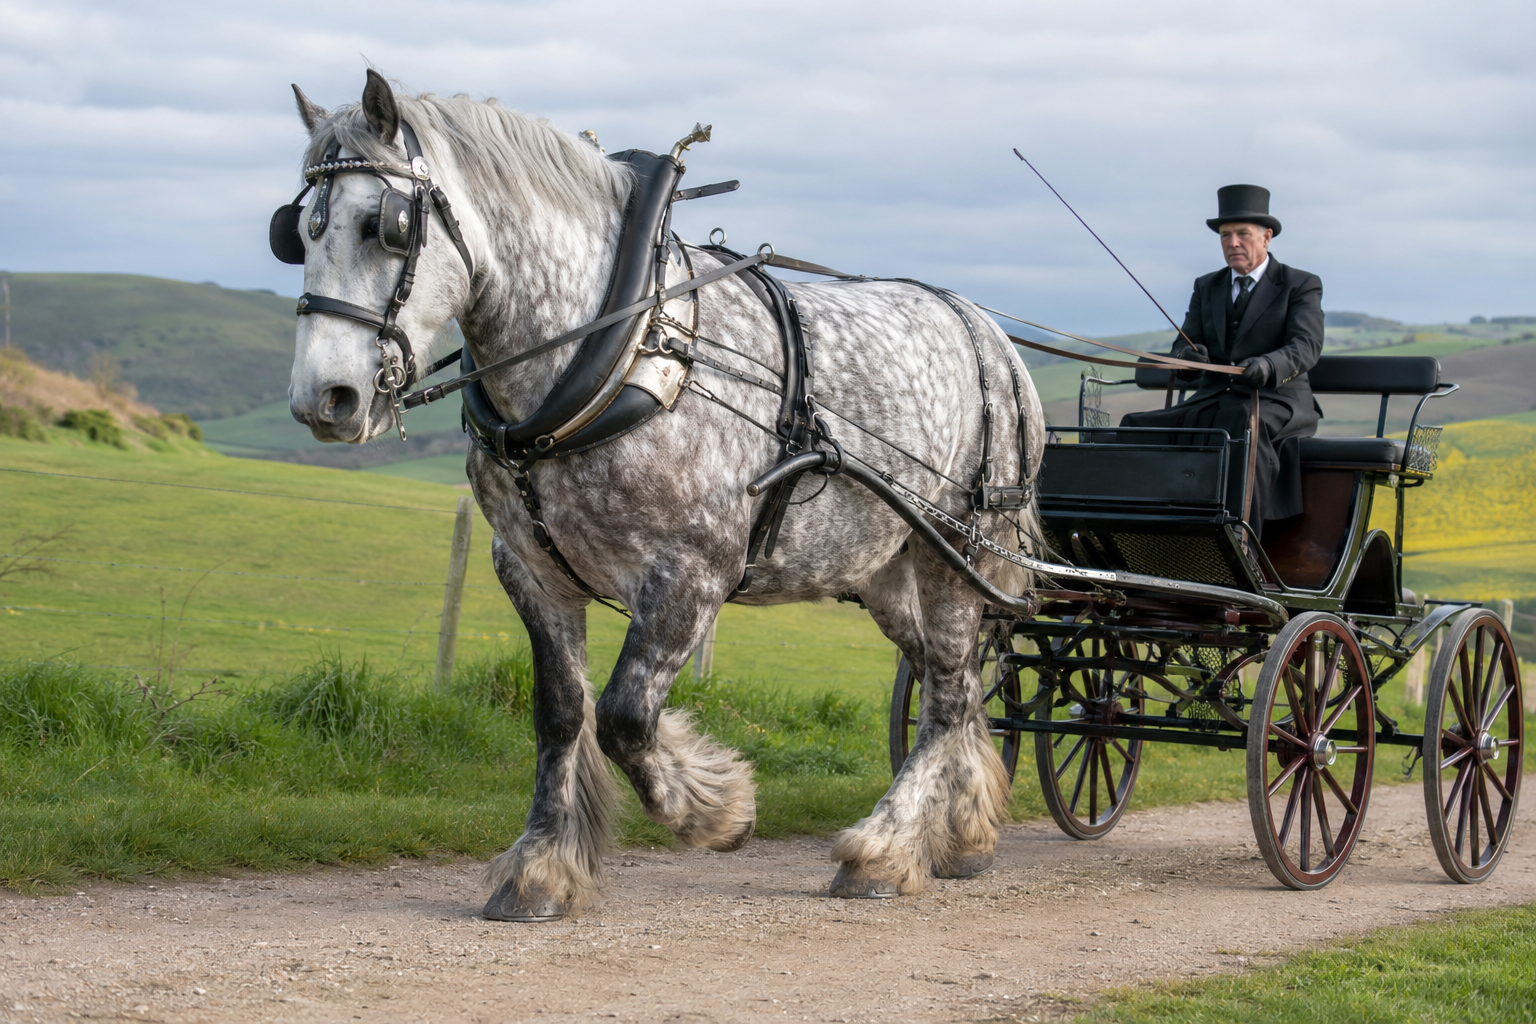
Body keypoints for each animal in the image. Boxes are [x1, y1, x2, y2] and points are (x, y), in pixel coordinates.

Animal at [282, 71, 1046, 921]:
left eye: (384, 225)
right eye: (296, 232)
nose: (325, 399)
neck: (621, 348)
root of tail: (987, 330)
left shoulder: (692, 571)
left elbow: (623, 716)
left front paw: (719, 809)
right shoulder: (531, 571)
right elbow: (561, 713)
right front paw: (541, 867)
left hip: (964, 547)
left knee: (945, 689)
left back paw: (883, 848)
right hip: (887, 566)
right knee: (960, 683)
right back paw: (964, 832)